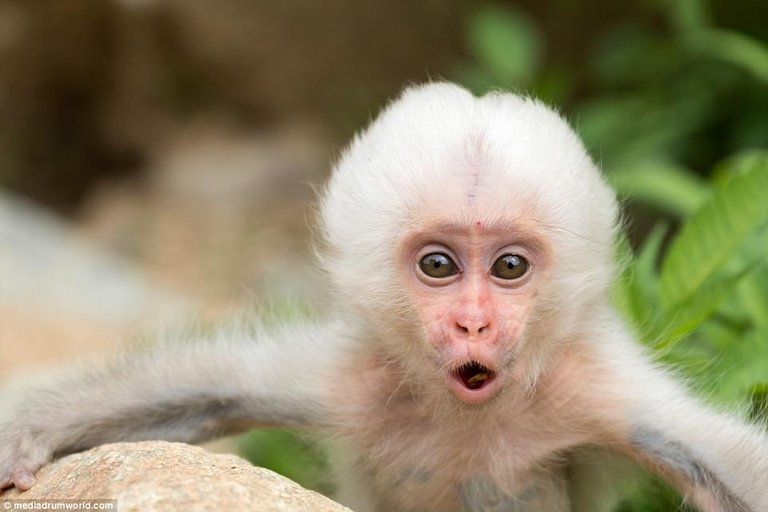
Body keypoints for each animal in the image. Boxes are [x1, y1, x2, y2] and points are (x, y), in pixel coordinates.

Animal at [1, 82, 768, 510]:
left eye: (509, 268)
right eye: (438, 265)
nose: (474, 323)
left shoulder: (592, 385)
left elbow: (733, 470)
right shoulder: (355, 376)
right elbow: (212, 389)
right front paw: (26, 438)